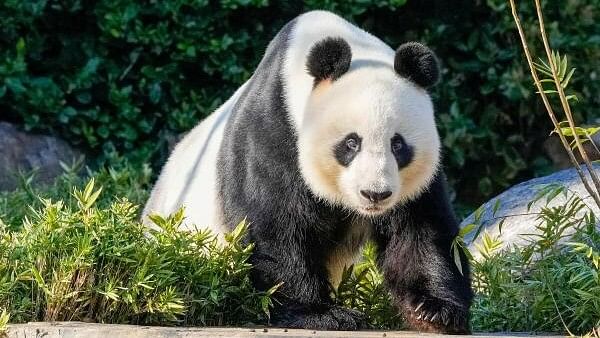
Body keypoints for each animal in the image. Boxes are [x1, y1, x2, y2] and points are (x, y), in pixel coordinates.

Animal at [143, 9, 472, 332]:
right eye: (351, 143)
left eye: (398, 144)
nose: (375, 194)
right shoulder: (274, 130)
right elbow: (275, 226)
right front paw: (322, 314)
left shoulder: (414, 183)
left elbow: (420, 230)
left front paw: (433, 310)